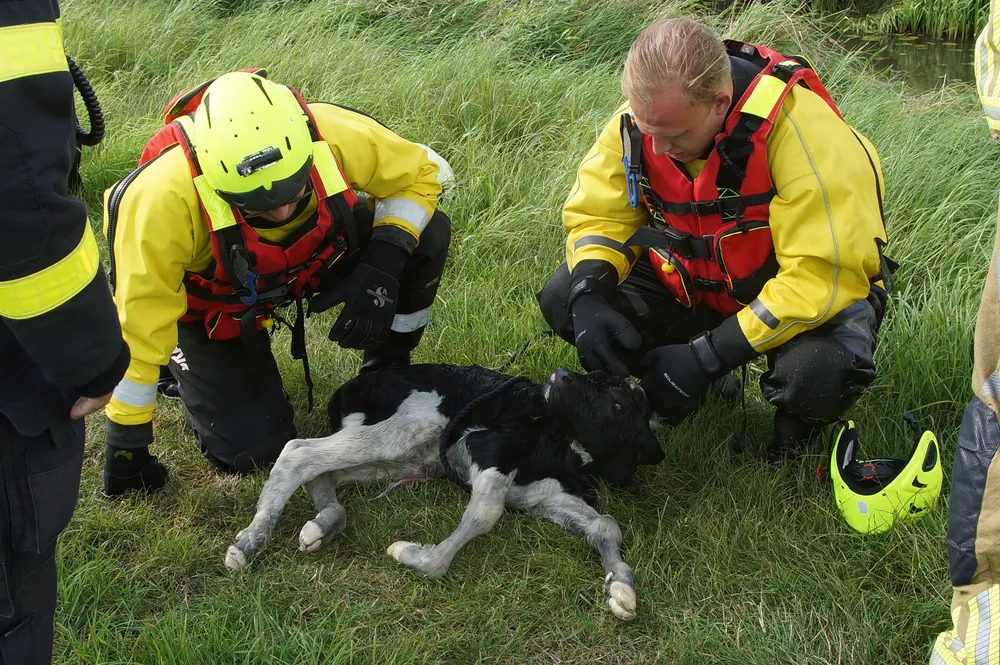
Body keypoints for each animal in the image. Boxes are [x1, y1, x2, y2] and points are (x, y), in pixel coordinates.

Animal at [225, 364, 664, 620]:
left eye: (618, 403)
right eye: (597, 380)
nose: (561, 374)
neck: (567, 450)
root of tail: (350, 386)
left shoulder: (543, 495)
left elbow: (606, 524)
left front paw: (621, 587)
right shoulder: (486, 449)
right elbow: (486, 513)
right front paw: (413, 555)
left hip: (409, 459)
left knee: (322, 472)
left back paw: (321, 525)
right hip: (413, 428)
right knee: (298, 452)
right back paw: (249, 542)